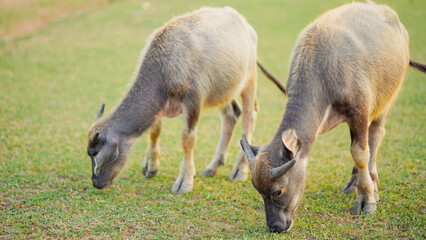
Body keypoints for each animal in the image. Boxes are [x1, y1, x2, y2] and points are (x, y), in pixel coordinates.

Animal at [86, 6, 282, 194]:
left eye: (96, 154)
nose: (95, 182)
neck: (165, 67)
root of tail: (244, 24)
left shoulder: (193, 100)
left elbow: (188, 138)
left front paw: (185, 181)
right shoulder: (159, 105)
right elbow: (155, 130)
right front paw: (151, 166)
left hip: (249, 78)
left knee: (250, 114)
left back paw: (239, 171)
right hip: (222, 89)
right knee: (231, 114)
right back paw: (212, 166)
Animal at [241, 0, 426, 232]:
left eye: (277, 191)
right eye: (258, 191)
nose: (275, 226)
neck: (324, 72)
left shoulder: (360, 111)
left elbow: (360, 152)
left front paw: (367, 199)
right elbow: (358, 150)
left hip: (387, 99)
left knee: (375, 136)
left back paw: (372, 181)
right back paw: (355, 181)